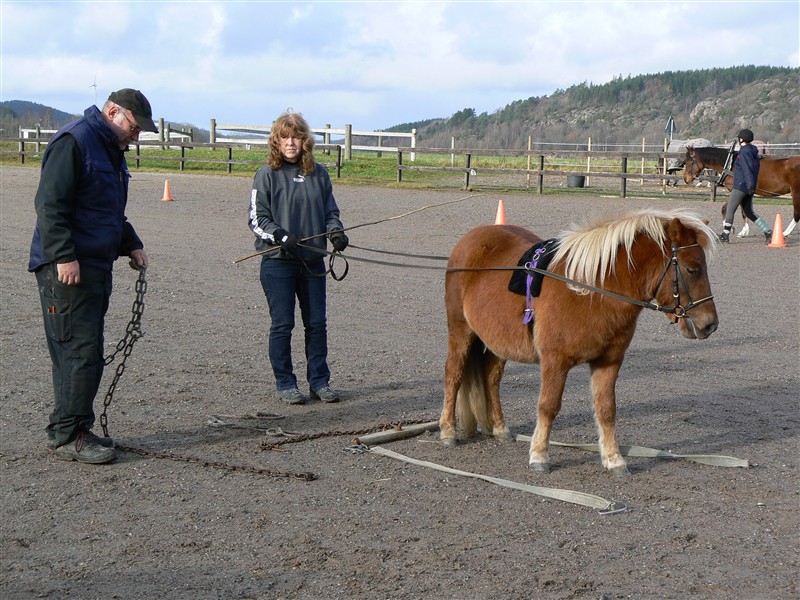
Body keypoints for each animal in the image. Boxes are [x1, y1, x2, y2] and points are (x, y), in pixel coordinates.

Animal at [438, 211, 720, 478]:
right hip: (461, 331)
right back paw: (447, 430)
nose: (710, 324)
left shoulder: (609, 362)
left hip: (499, 342)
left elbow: (606, 409)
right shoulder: (555, 362)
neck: (591, 291)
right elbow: (548, 406)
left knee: (491, 378)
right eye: (693, 269)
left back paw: (499, 428)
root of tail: (470, 240)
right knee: (454, 375)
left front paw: (614, 459)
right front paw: (539, 455)